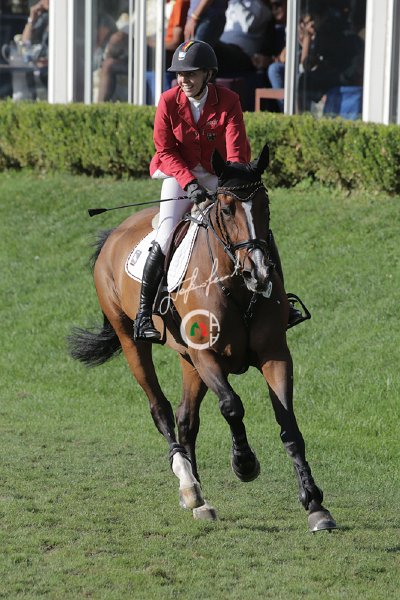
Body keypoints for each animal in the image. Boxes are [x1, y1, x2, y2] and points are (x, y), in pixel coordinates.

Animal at [69, 144, 336, 531]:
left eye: (266, 205)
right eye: (226, 209)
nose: (260, 272)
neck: (237, 285)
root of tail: (115, 234)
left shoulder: (274, 354)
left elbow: (288, 424)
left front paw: (315, 504)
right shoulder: (208, 356)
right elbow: (232, 406)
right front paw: (244, 464)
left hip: (187, 359)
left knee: (186, 419)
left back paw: (197, 496)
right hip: (134, 341)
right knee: (161, 409)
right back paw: (188, 485)